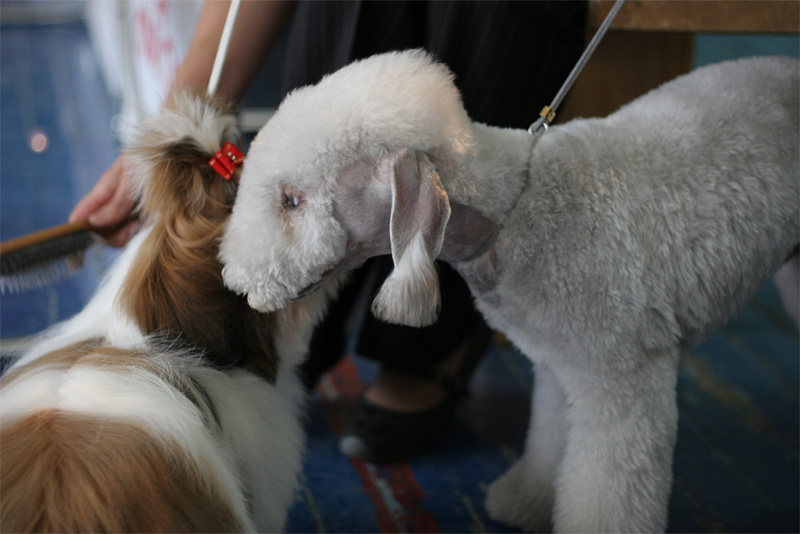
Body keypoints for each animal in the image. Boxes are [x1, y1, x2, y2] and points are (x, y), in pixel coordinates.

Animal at [219, 50, 799, 532]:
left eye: (291, 200)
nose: (236, 282)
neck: (519, 210)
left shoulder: (622, 379)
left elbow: (610, 487)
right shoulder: (559, 365)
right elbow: (549, 441)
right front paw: (527, 502)